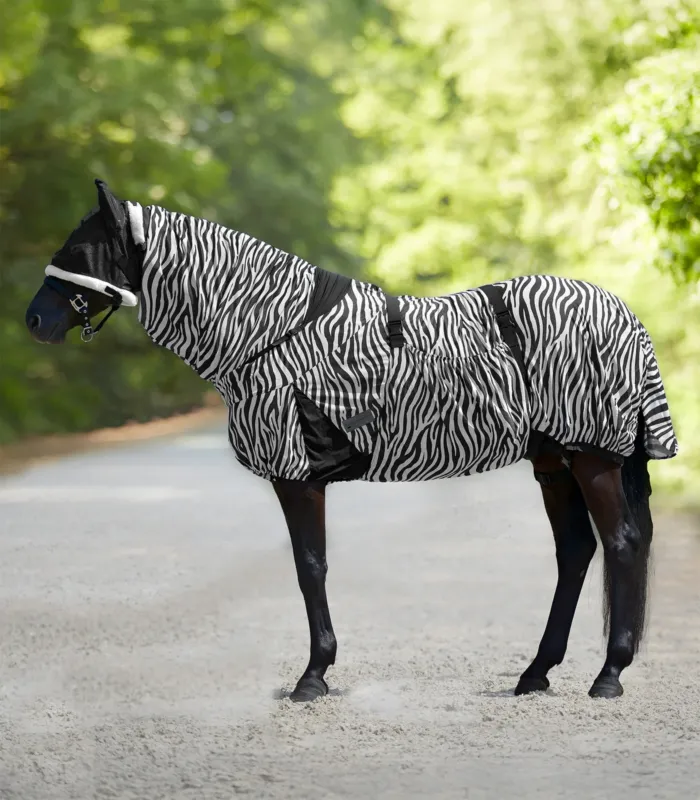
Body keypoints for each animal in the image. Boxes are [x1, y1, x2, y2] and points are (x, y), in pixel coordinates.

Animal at [26, 179, 678, 702]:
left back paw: (608, 676)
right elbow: (310, 567)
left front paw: (312, 677)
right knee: (576, 552)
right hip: (554, 462)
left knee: (621, 544)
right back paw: (535, 673)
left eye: (79, 251)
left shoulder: (296, 475)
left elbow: (309, 567)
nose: (34, 321)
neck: (270, 331)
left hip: (592, 458)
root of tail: (624, 314)